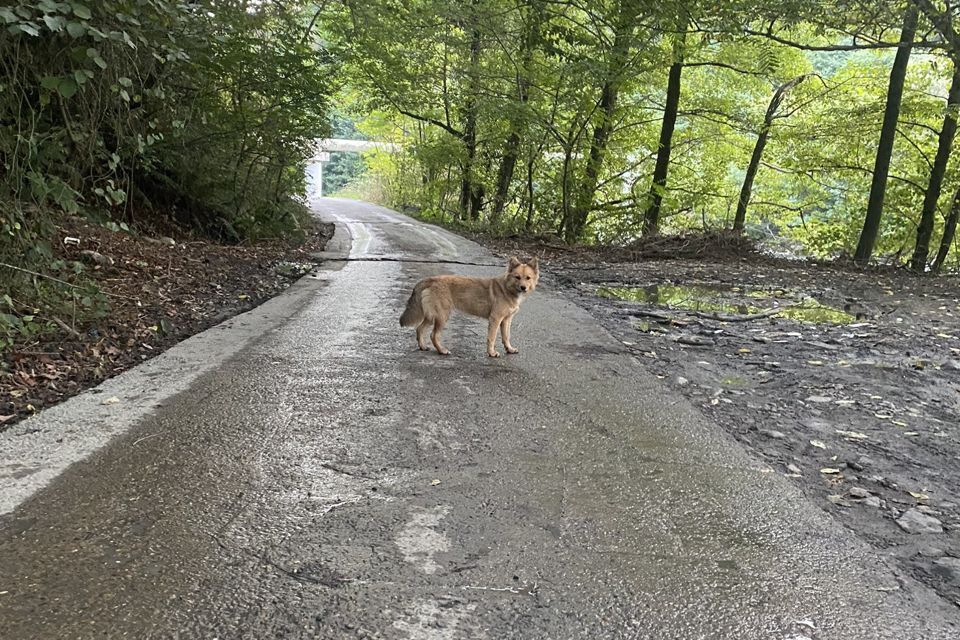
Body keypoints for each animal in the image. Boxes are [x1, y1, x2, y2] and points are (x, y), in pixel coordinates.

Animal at [400, 258, 540, 358]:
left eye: (528, 278)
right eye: (517, 277)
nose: (523, 287)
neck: (506, 288)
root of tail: (430, 279)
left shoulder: (506, 320)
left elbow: (506, 336)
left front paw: (509, 349)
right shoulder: (495, 319)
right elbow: (492, 338)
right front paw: (491, 353)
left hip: (431, 316)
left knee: (419, 329)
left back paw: (423, 347)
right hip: (442, 317)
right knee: (433, 335)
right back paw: (442, 351)